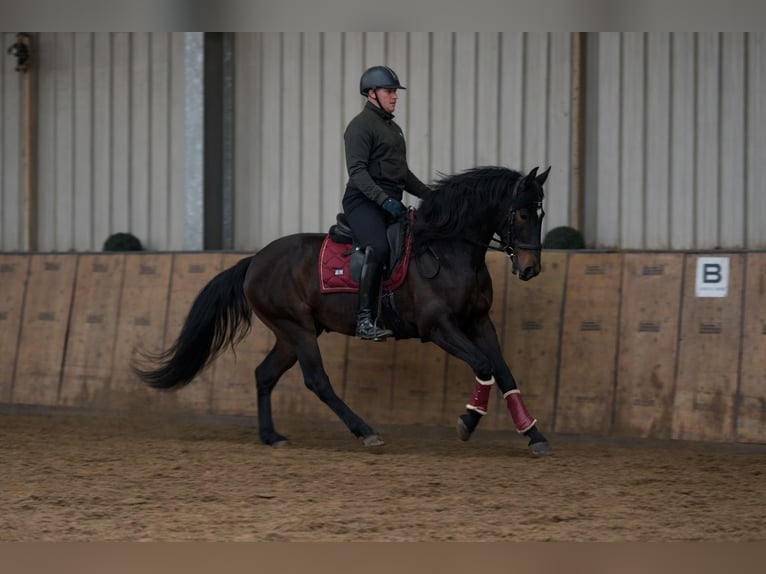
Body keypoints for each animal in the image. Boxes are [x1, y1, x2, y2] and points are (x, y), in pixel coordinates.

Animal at [133, 165, 552, 456]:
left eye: (541, 213)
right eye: (521, 214)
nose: (531, 268)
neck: (449, 248)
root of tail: (255, 261)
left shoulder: (480, 322)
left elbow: (503, 372)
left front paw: (533, 434)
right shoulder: (439, 328)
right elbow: (483, 366)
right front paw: (467, 420)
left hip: (291, 334)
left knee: (264, 375)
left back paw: (272, 436)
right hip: (298, 329)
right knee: (317, 381)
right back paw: (366, 432)